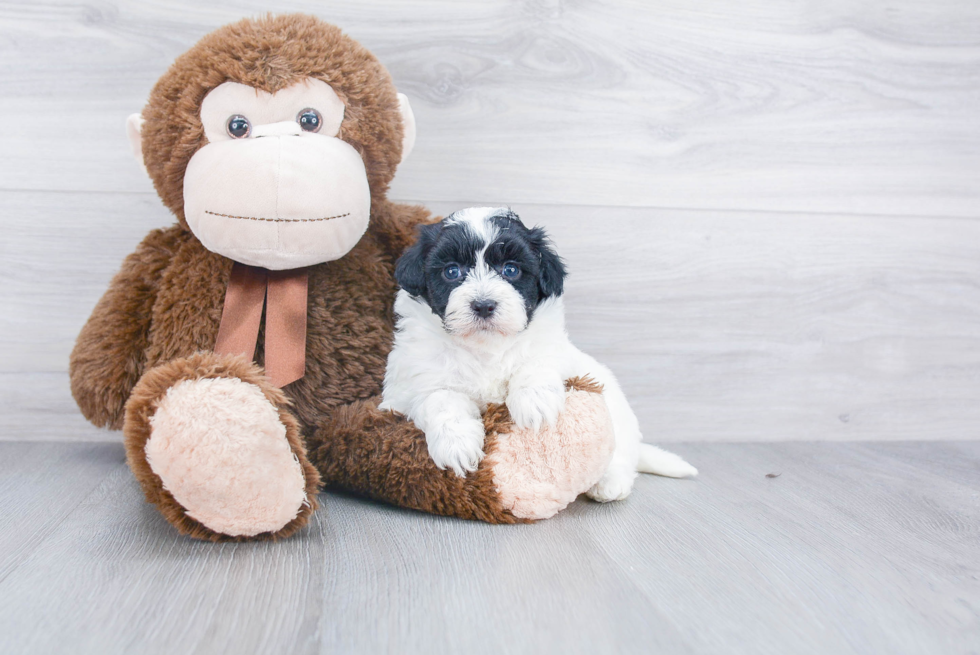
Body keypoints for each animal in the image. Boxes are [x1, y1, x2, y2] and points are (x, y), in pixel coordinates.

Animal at [378, 209, 696, 502]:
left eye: (510, 270)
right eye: (452, 271)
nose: (483, 305)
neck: (485, 348)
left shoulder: (553, 349)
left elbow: (535, 362)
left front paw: (534, 404)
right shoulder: (410, 383)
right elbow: (440, 398)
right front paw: (457, 444)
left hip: (617, 414)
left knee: (621, 450)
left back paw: (609, 483)